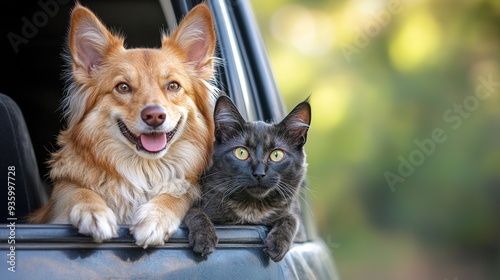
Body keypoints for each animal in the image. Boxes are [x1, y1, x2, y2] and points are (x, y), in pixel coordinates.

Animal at [28, 1, 217, 247]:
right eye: (123, 87)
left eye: (173, 86)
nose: (154, 116)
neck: (144, 169)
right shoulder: (61, 196)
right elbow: (76, 191)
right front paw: (93, 210)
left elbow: (178, 194)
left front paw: (157, 216)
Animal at [183, 95, 308, 262]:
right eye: (241, 152)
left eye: (277, 155)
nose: (259, 174)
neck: (251, 208)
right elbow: (195, 212)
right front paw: (204, 238)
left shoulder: (290, 209)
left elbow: (291, 219)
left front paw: (277, 244)